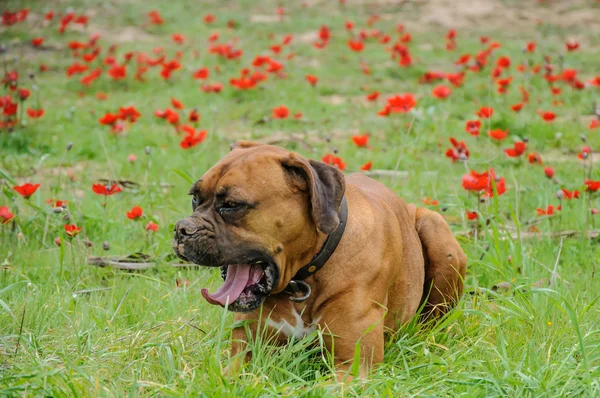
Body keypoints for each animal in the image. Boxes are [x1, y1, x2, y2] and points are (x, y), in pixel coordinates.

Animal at [171, 141, 466, 380]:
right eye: (195, 198)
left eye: (232, 205)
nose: (181, 229)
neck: (304, 278)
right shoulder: (244, 356)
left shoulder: (351, 367)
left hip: (436, 230)